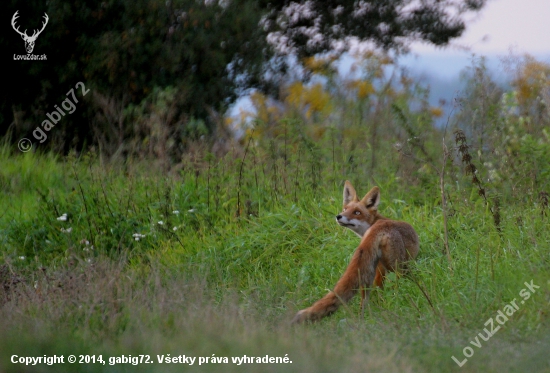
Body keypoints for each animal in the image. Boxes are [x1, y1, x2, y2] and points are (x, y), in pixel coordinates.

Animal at [294, 180, 418, 322]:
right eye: (345, 209)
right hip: (395, 268)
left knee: (366, 298)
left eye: (357, 212)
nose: (339, 216)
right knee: (394, 288)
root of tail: (379, 228)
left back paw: (363, 319)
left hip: (371, 272)